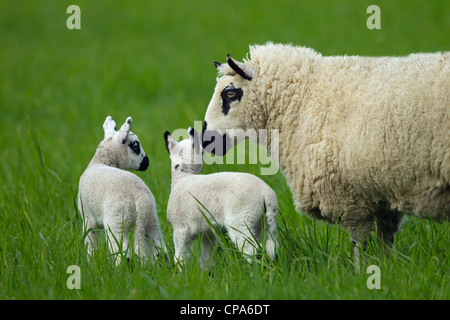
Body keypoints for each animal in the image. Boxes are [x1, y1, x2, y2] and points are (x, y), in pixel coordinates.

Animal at [78, 116, 166, 264]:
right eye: (135, 145)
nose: (147, 162)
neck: (100, 161)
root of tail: (138, 197)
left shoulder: (88, 218)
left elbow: (91, 245)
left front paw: (91, 263)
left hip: (117, 222)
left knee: (123, 254)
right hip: (151, 219)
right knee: (162, 251)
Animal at [165, 127, 278, 268]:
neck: (182, 177)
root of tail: (266, 193)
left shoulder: (180, 228)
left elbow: (181, 257)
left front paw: (180, 271)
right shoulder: (207, 232)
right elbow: (207, 257)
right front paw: (206, 272)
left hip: (241, 217)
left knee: (251, 249)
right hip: (262, 221)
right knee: (269, 247)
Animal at [203, 42, 450, 264]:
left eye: (230, 93)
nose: (205, 139)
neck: (302, 99)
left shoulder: (349, 197)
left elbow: (358, 243)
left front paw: (359, 273)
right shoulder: (385, 189)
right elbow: (385, 241)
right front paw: (389, 269)